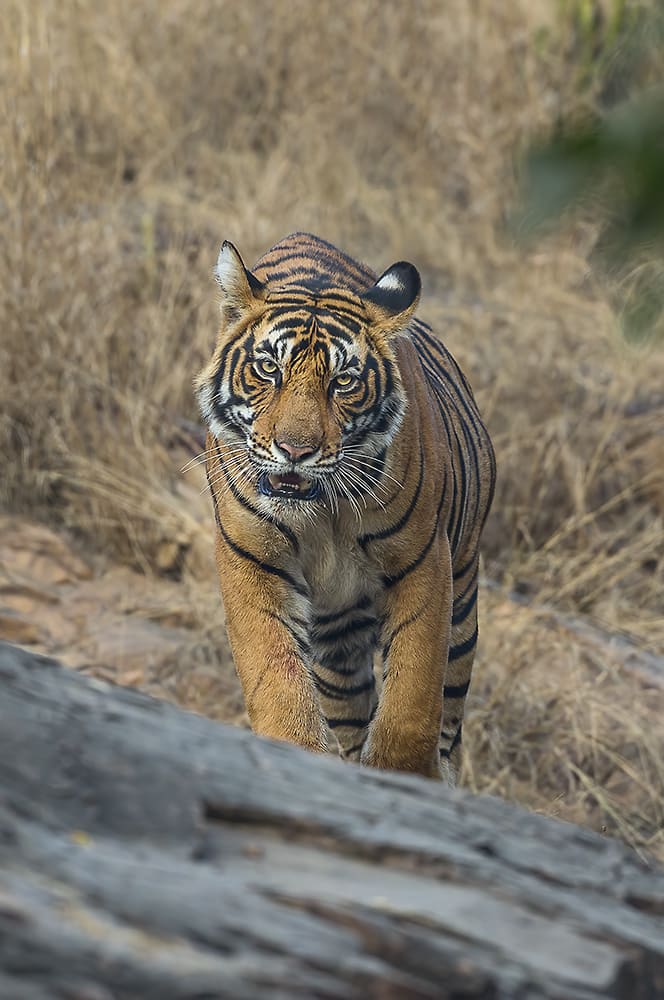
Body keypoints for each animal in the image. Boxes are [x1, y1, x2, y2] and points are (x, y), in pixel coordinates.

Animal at [195, 232, 496, 780]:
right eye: (268, 369)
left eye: (343, 382)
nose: (295, 450)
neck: (323, 512)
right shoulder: (252, 560)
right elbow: (277, 679)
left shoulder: (424, 562)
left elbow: (412, 698)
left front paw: (404, 776)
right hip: (336, 638)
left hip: (464, 600)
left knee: (448, 713)